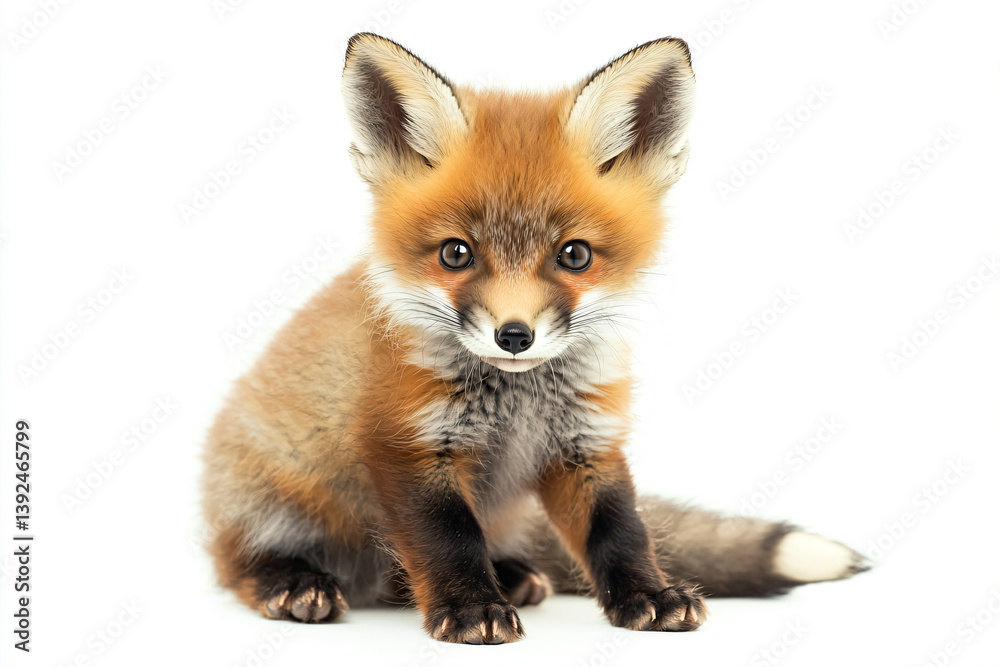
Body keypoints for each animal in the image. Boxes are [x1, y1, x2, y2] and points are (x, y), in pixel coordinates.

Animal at [202, 33, 868, 644]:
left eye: (575, 255)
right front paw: (471, 608)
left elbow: (621, 531)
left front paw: (648, 596)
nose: (514, 335)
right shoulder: (408, 443)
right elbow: (447, 539)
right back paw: (295, 584)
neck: (519, 404)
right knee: (240, 567)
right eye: (455, 254)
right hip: (270, 505)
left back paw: (509, 574)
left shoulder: (585, 443)